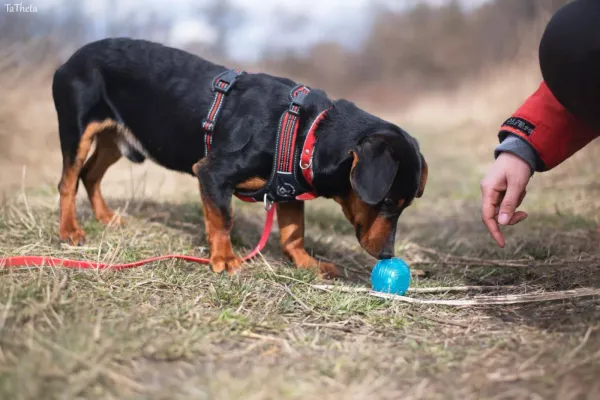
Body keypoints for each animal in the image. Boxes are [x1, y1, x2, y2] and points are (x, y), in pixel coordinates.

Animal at [51, 38, 426, 278]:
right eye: (386, 202)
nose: (388, 255)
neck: (310, 131)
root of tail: (69, 60)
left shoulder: (288, 192)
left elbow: (294, 233)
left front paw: (306, 263)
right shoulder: (212, 173)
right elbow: (222, 219)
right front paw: (225, 259)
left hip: (113, 141)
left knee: (90, 175)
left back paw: (105, 217)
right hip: (76, 131)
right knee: (68, 182)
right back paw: (70, 231)